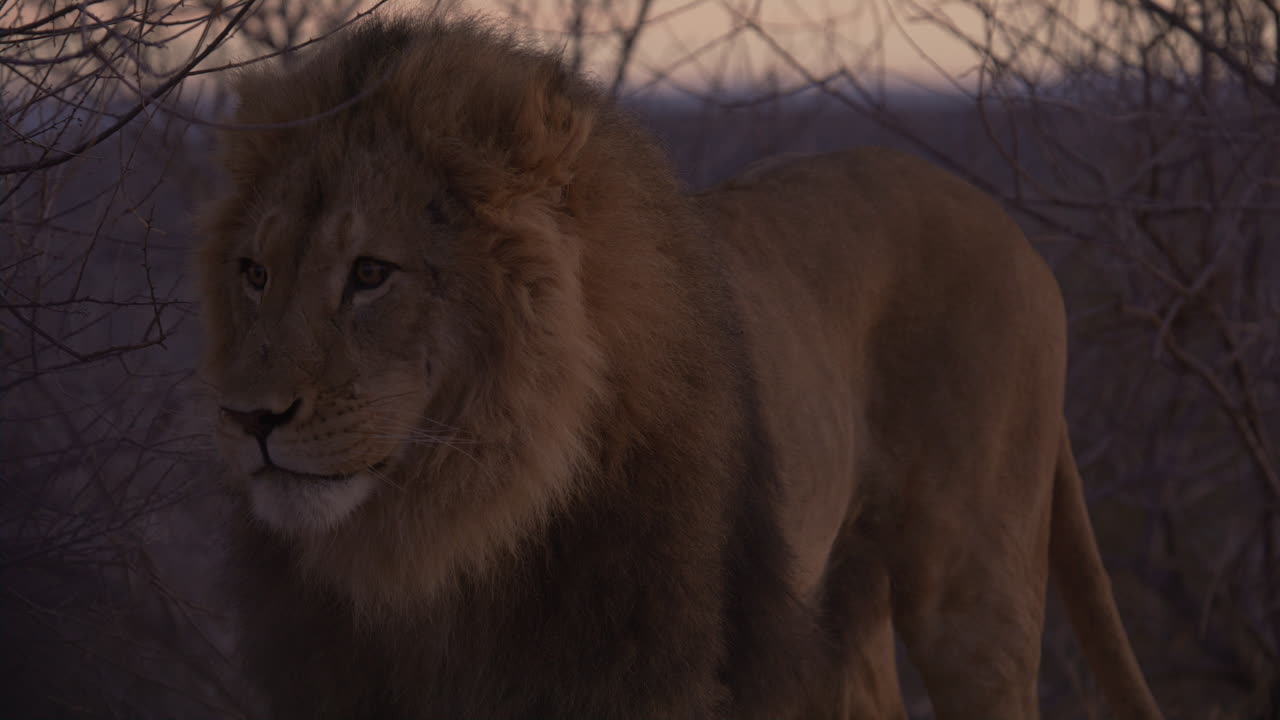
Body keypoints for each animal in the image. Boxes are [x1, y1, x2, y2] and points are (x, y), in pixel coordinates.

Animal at [197, 16, 1163, 720]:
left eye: (370, 274)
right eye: (255, 274)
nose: (247, 419)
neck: (450, 541)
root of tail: (1009, 226)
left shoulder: (656, 673)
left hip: (974, 596)